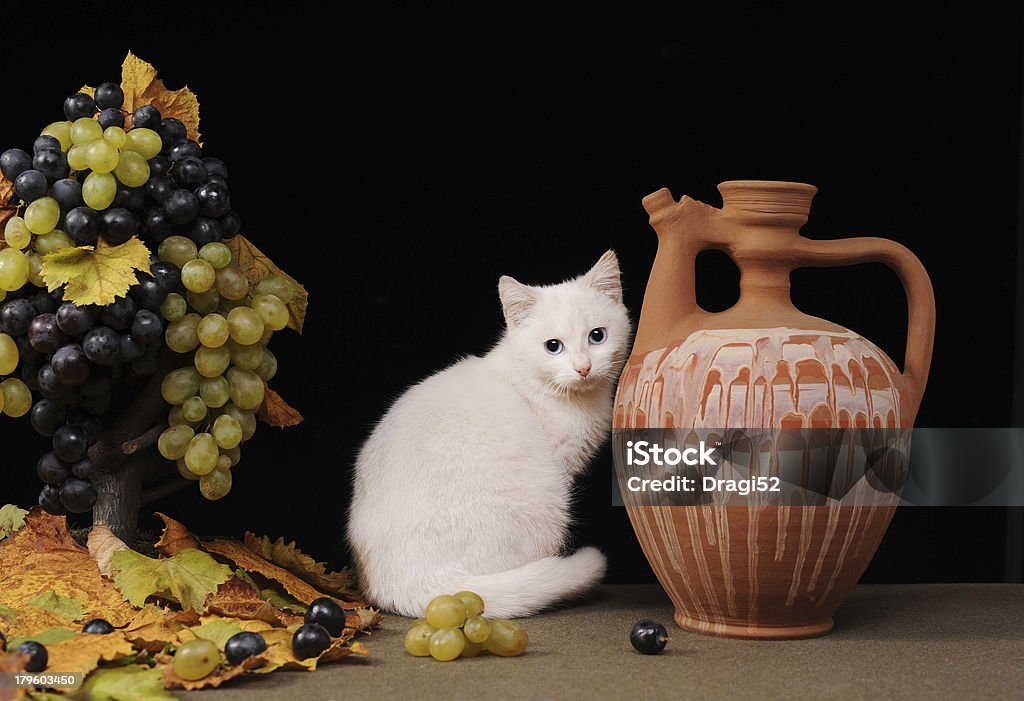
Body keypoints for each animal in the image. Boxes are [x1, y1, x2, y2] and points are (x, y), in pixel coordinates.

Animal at [348, 252, 626, 618]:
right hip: (547, 501)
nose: (583, 368)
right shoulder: (562, 463)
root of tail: (402, 583)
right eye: (553, 346)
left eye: (597, 336)